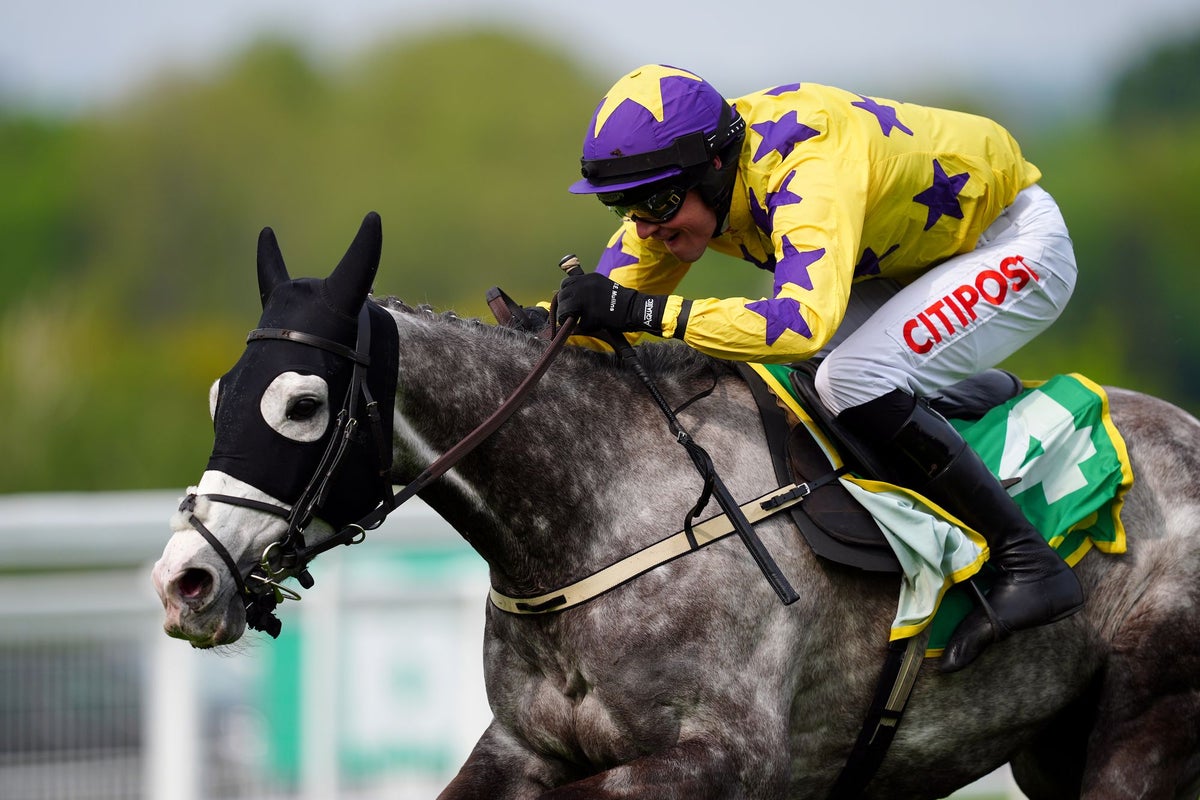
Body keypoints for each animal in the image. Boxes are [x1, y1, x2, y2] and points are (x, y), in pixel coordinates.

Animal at [152, 212, 1200, 799]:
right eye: (217, 397)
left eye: (300, 405)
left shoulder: (722, 759)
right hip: (1054, 742)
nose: (184, 580)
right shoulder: (522, 748)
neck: (596, 518)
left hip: (1147, 720)